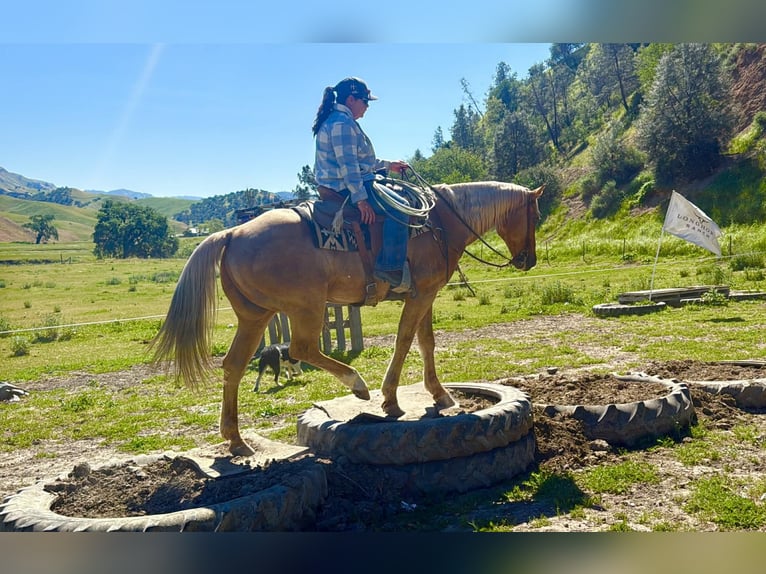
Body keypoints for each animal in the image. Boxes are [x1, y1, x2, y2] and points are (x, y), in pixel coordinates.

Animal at [151, 181, 544, 456]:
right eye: (536, 216)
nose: (529, 261)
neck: (440, 223)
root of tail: (231, 233)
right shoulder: (422, 294)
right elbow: (405, 340)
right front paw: (390, 399)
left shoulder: (425, 294)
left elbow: (425, 342)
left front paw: (440, 394)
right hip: (305, 307)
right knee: (302, 349)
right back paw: (357, 384)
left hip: (255, 316)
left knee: (234, 365)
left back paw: (235, 440)